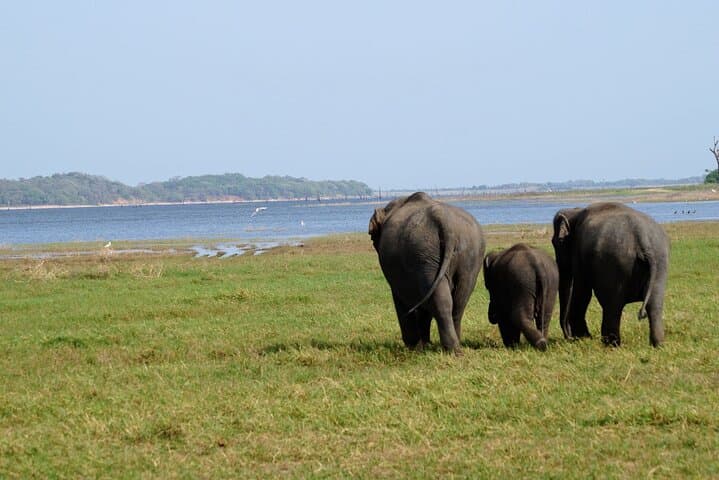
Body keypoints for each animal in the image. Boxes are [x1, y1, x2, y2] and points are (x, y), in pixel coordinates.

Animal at [369, 192, 486, 353]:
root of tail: (444, 221)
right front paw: (424, 345)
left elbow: (400, 299)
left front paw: (413, 347)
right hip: (469, 256)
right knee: (459, 301)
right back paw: (457, 346)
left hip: (424, 253)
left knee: (440, 300)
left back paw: (451, 350)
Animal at [552, 202, 670, 347]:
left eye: (556, 242)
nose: (568, 338)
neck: (575, 211)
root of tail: (642, 238)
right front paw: (583, 338)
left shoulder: (578, 251)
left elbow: (582, 291)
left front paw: (583, 338)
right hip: (660, 261)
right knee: (654, 304)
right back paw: (657, 345)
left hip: (614, 263)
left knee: (612, 305)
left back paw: (611, 344)